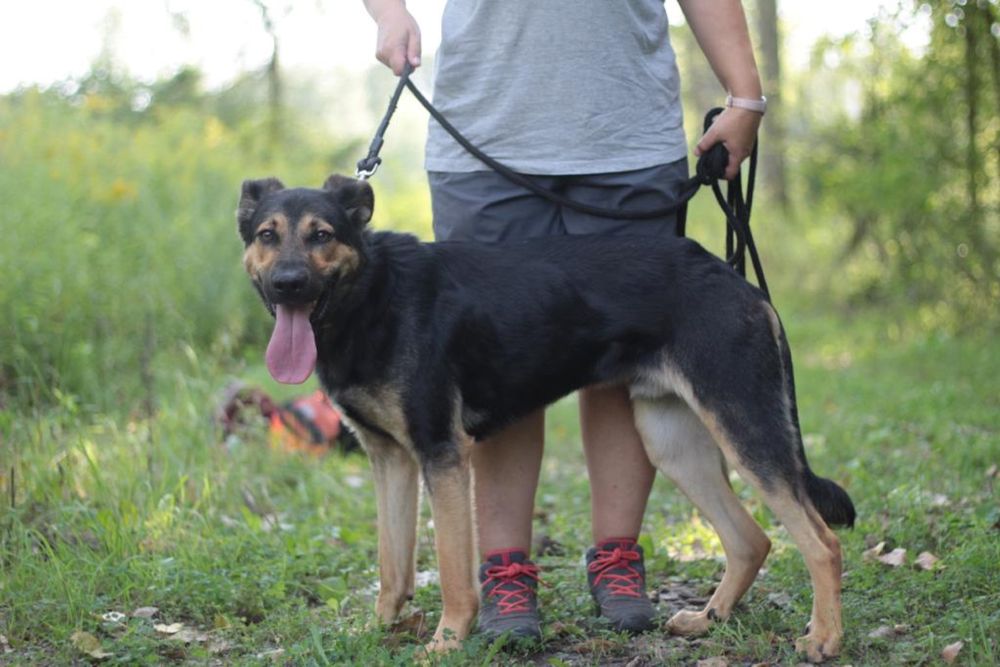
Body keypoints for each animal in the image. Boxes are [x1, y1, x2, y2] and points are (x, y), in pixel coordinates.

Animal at [236, 174, 860, 664]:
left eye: (322, 235)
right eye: (268, 236)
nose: (288, 284)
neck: (373, 295)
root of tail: (738, 282)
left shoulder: (442, 455)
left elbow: (454, 573)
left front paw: (445, 643)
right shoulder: (390, 459)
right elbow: (393, 566)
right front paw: (378, 632)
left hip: (744, 429)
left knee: (822, 543)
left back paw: (823, 639)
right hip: (673, 443)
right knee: (752, 539)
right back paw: (709, 619)